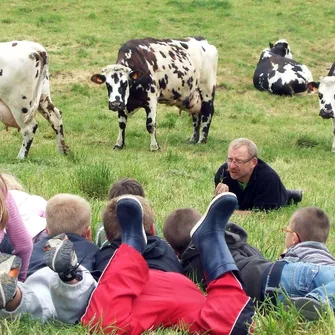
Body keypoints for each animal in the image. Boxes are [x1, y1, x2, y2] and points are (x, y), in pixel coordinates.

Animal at [90, 36, 219, 151]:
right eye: (107, 84)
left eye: (125, 83)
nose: (115, 104)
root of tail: (203, 41)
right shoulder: (123, 103)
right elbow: (122, 124)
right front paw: (119, 144)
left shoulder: (151, 100)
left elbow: (150, 125)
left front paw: (154, 146)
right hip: (192, 96)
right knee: (196, 115)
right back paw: (193, 139)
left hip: (207, 90)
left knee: (207, 112)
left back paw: (202, 141)